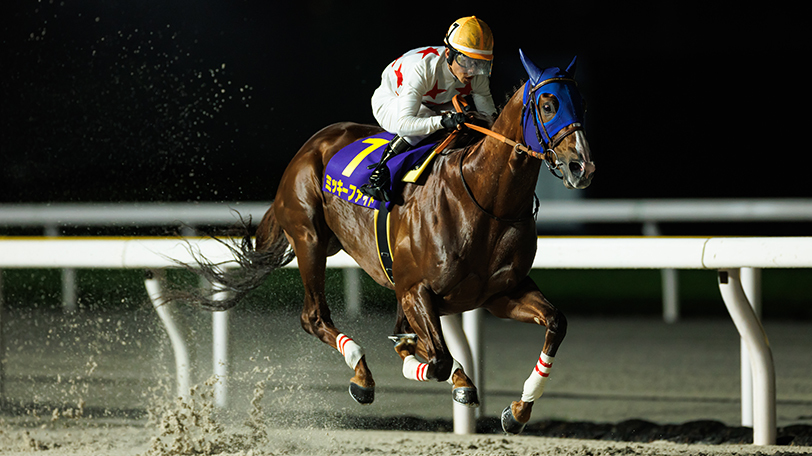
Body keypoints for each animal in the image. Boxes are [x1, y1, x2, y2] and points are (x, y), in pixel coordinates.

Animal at [186, 50, 594, 434]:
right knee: (314, 316)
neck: (486, 200)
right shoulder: (416, 289)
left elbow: (555, 323)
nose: (582, 167)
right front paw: (433, 369)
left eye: (581, 102)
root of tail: (311, 144)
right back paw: (361, 373)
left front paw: (518, 410)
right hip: (309, 237)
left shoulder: (498, 293)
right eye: (547, 105)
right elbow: (437, 357)